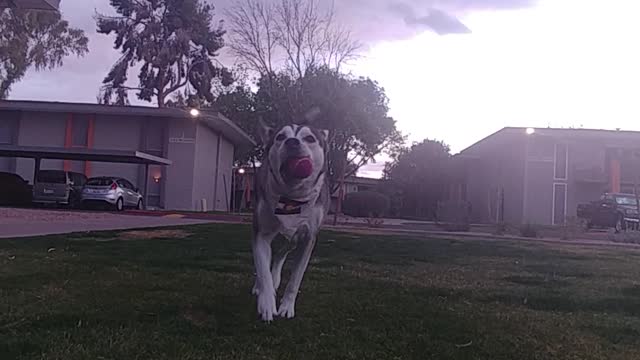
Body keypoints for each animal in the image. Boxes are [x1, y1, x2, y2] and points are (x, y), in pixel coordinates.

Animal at [250, 119, 330, 322]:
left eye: (310, 138)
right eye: (280, 137)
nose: (292, 142)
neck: (291, 198)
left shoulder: (308, 238)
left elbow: (295, 279)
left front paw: (286, 306)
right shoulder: (260, 234)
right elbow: (263, 270)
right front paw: (267, 303)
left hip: (294, 237)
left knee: (282, 251)